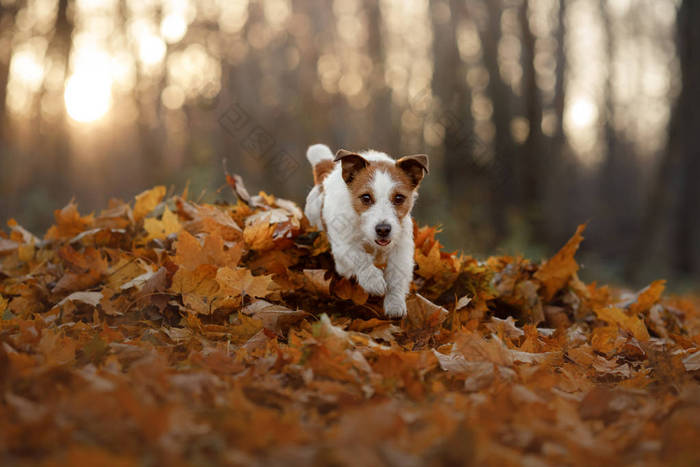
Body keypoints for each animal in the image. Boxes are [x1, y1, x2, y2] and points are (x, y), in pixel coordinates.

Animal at [304, 144, 430, 318]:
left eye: (399, 198)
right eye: (365, 198)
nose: (383, 229)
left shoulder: (401, 249)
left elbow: (397, 276)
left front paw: (395, 303)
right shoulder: (343, 247)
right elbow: (360, 257)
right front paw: (373, 281)